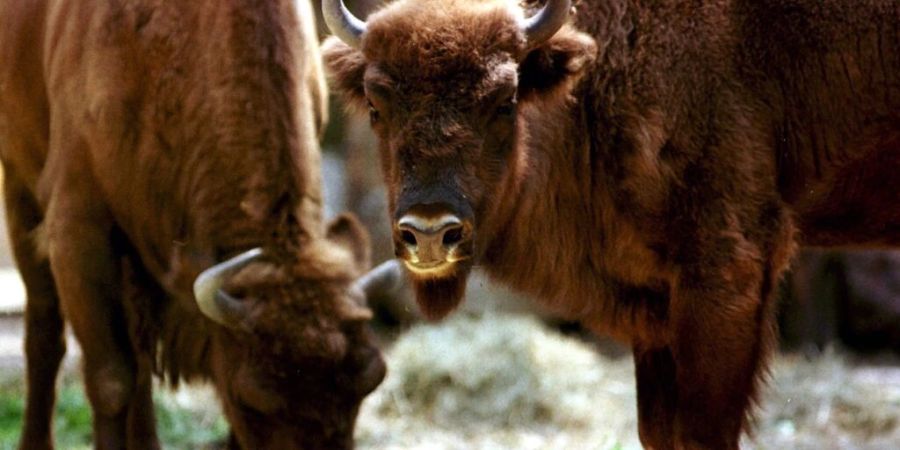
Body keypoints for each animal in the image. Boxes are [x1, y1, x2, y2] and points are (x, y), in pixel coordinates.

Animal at [0, 0, 398, 448]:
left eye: (372, 379)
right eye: (252, 399)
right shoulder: (77, 228)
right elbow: (110, 379)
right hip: (18, 183)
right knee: (45, 329)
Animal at [320, 0, 896, 448]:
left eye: (504, 100)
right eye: (375, 104)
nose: (430, 232)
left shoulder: (726, 275)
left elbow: (702, 433)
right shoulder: (657, 308)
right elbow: (658, 432)